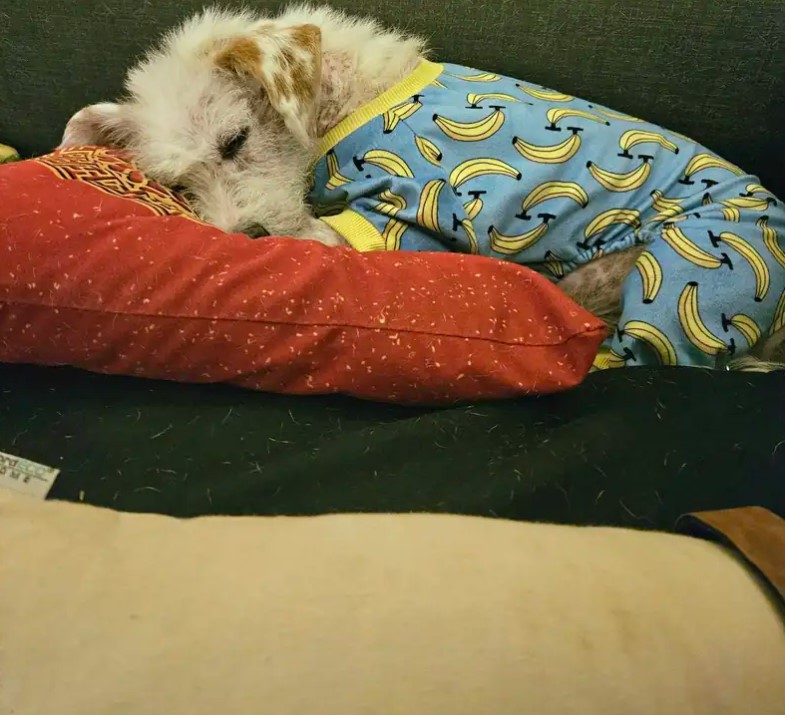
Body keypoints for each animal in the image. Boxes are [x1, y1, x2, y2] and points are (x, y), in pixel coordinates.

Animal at [59, 5, 784, 372]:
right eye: (180, 186)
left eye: (235, 140)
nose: (249, 238)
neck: (344, 100)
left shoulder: (388, 218)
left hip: (675, 278)